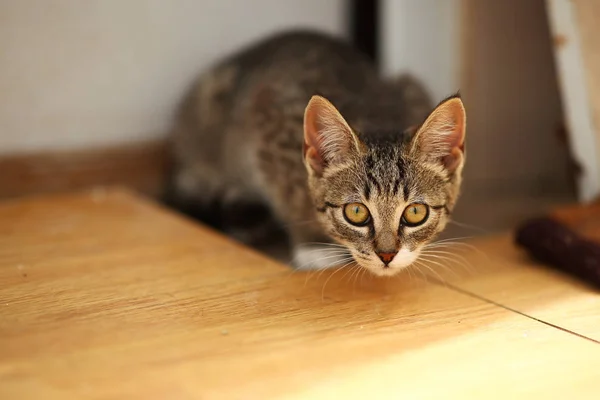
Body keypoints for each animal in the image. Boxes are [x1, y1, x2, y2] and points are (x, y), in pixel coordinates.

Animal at [166, 30, 466, 278]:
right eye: (356, 212)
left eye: (415, 212)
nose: (387, 255)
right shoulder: (266, 116)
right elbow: (289, 194)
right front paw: (314, 245)